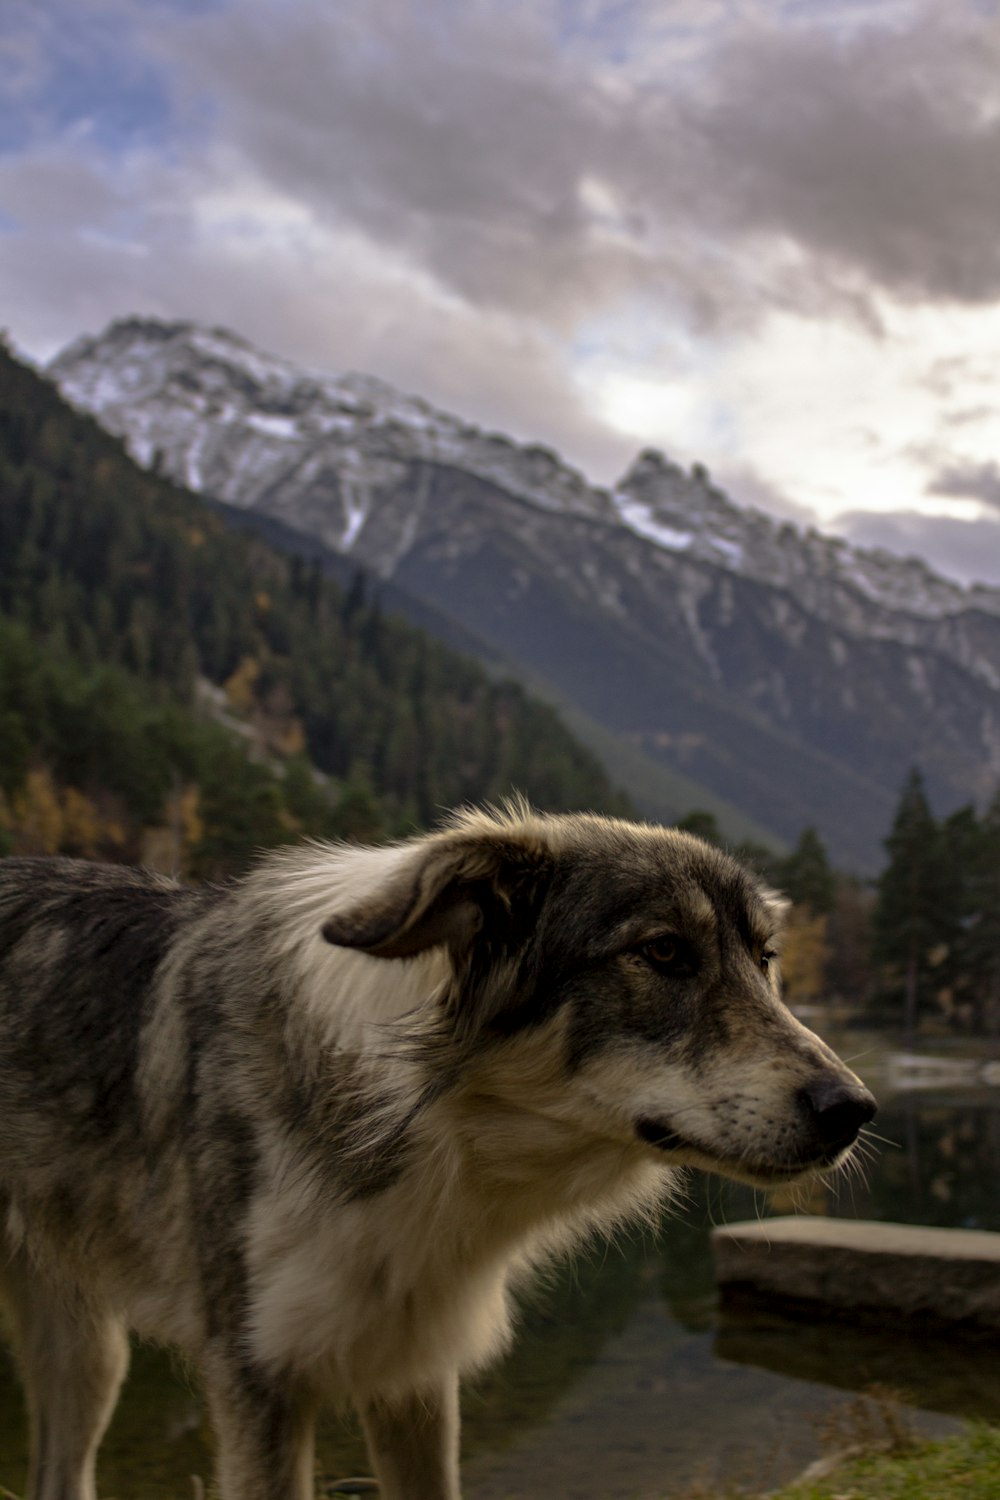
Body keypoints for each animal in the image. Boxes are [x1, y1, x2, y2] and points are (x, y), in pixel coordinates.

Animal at [0, 810, 875, 1500]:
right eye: (662, 953)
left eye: (763, 959)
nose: (854, 1110)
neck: (430, 1128)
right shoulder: (257, 1380)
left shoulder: (413, 1375)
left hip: (87, 1357)